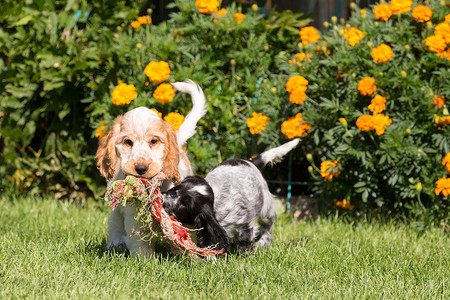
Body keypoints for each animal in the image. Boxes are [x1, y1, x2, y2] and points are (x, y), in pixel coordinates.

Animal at [96, 79, 207, 258]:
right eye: (128, 142)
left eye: (154, 141)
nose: (141, 168)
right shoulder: (134, 214)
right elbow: (139, 239)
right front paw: (145, 260)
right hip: (116, 211)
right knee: (115, 225)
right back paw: (114, 245)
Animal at [162, 138, 298, 253]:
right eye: (174, 189)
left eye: (185, 205)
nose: (162, 201)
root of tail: (249, 162)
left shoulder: (244, 228)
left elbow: (244, 244)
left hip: (266, 207)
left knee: (268, 225)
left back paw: (263, 242)